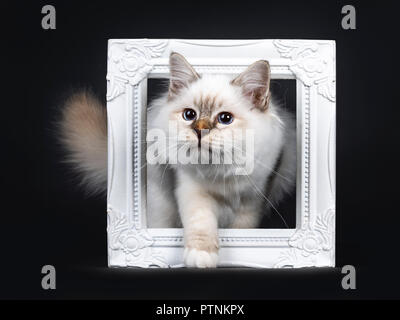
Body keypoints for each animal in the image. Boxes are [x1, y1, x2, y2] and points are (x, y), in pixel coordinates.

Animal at [60, 52, 296, 268]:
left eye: (225, 119)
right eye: (189, 115)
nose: (200, 131)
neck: (220, 172)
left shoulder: (253, 199)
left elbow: (242, 229)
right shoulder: (192, 189)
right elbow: (201, 223)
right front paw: (201, 257)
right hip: (160, 205)